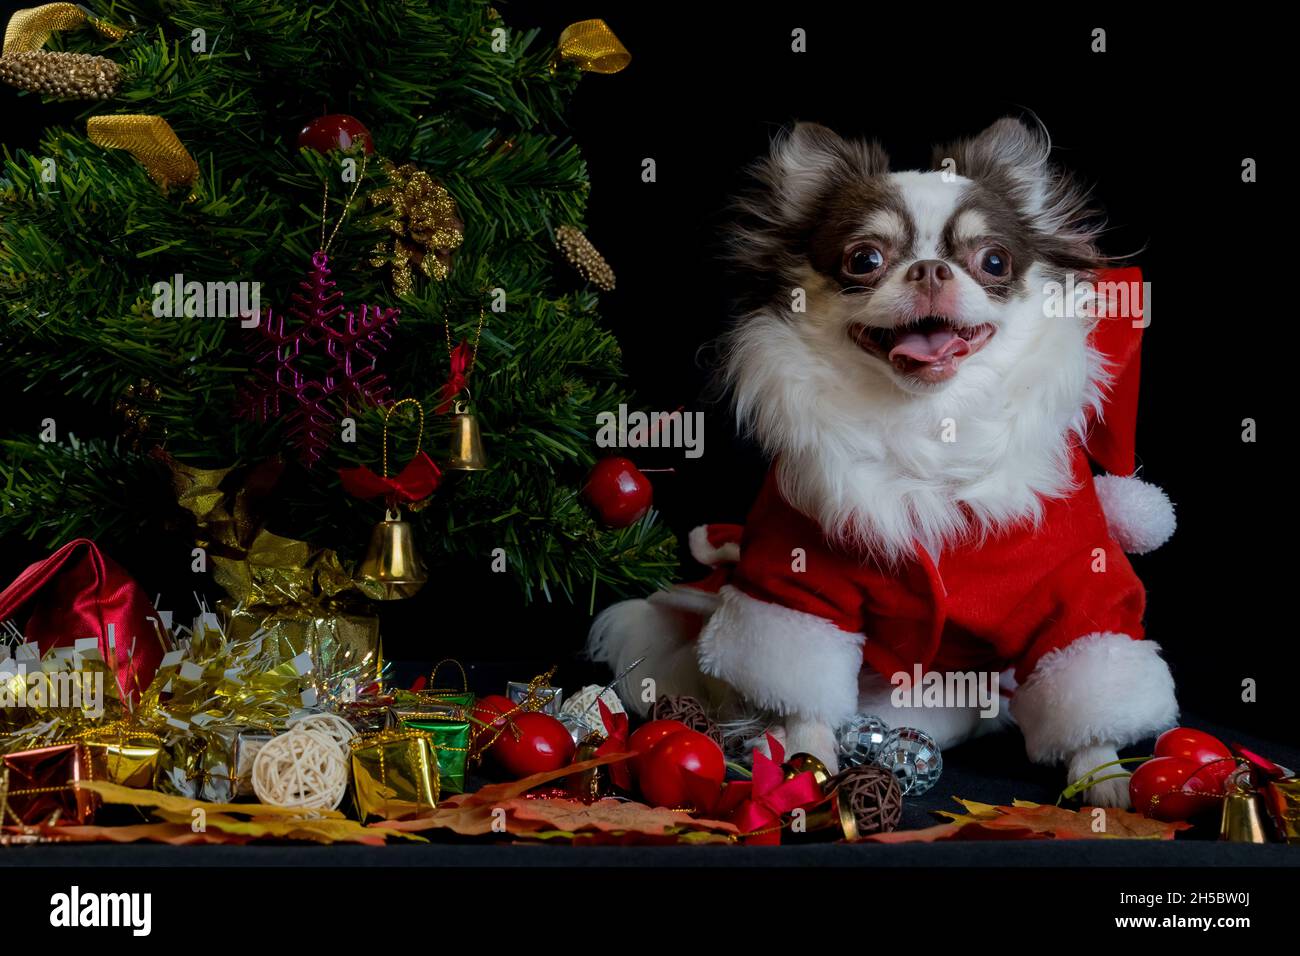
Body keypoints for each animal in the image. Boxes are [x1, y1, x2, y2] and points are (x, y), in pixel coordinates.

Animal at [590, 119, 1180, 806]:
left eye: (994, 261)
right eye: (864, 259)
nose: (929, 269)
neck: (931, 423)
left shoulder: (1076, 588)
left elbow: (1088, 676)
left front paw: (1104, 778)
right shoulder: (800, 584)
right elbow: (804, 688)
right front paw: (807, 754)